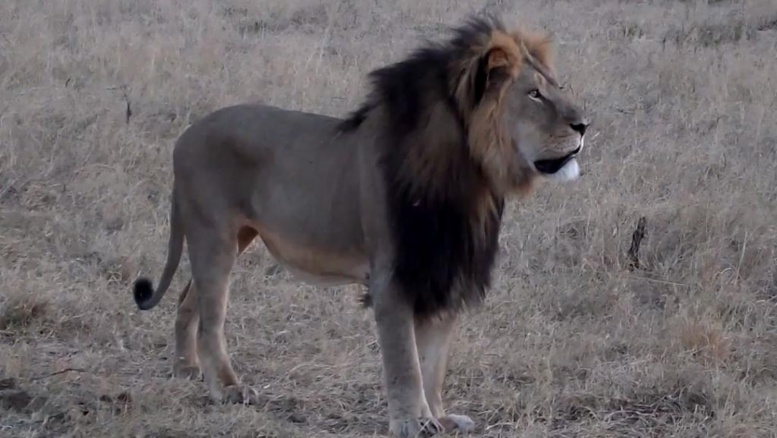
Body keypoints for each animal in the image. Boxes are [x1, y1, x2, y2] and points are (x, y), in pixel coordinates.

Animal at [131, 15, 590, 437]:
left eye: (556, 86)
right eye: (534, 93)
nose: (584, 125)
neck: (470, 178)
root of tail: (185, 136)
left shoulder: (442, 270)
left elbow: (433, 361)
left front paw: (439, 416)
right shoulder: (394, 276)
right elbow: (406, 362)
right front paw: (413, 422)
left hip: (231, 238)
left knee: (187, 298)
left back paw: (186, 369)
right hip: (216, 237)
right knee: (212, 317)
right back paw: (226, 388)